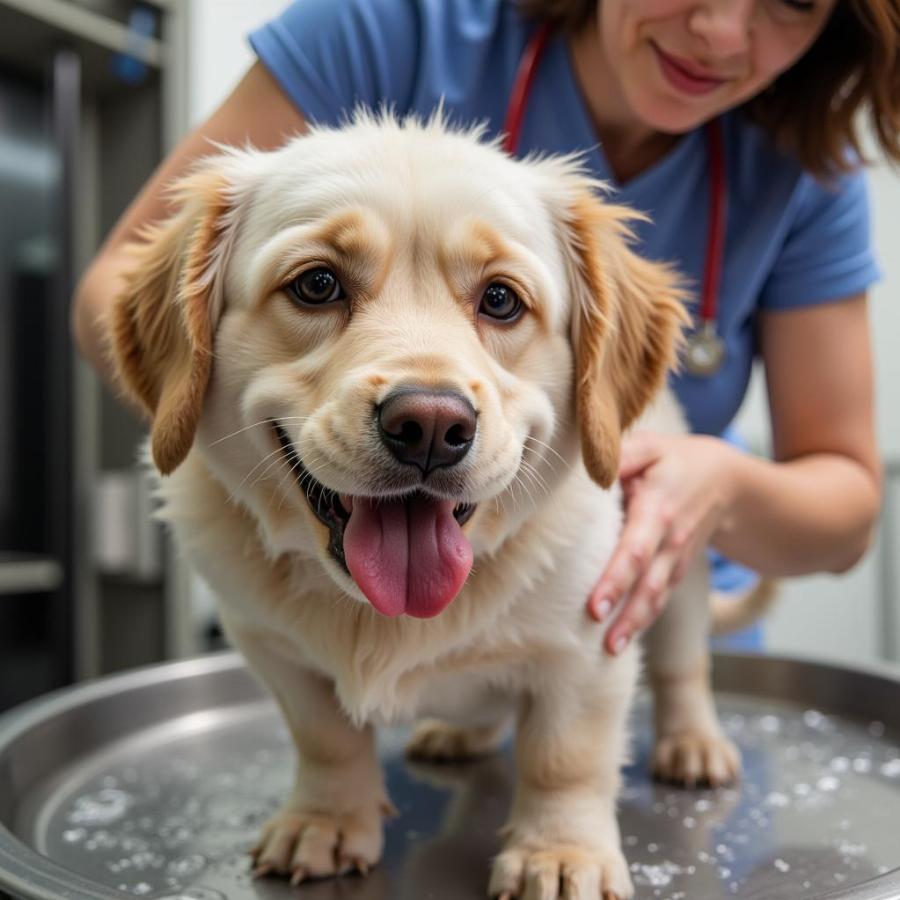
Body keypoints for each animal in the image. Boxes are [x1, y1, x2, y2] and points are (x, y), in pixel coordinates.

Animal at [105, 112, 740, 900]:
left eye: (500, 300)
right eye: (317, 284)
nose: (432, 426)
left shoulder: (587, 652)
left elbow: (566, 758)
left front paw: (562, 854)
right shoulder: (273, 651)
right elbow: (326, 739)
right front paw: (326, 820)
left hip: (676, 582)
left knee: (685, 669)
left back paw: (695, 744)